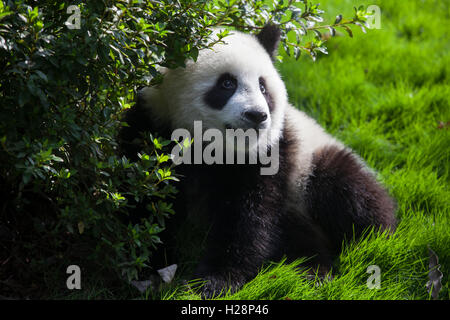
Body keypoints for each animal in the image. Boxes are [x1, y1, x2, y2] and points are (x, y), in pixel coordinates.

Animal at [118, 25, 396, 298]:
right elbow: (145, 204)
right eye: (227, 83)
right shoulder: (151, 130)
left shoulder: (271, 155)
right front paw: (148, 267)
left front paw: (212, 282)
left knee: (352, 196)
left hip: (310, 167)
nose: (257, 115)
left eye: (263, 87)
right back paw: (311, 270)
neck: (214, 150)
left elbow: (248, 217)